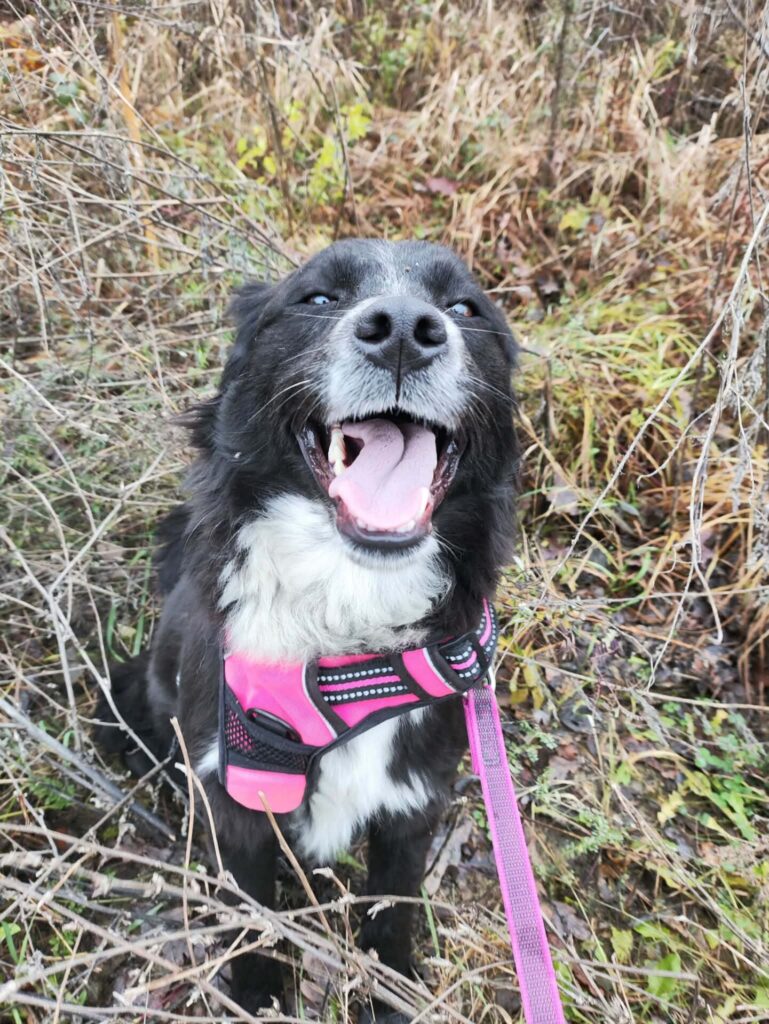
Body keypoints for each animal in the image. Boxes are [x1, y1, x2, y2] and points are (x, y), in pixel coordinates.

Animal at [97, 239, 519, 1020]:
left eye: (464, 307)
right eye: (318, 298)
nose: (405, 331)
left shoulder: (414, 804)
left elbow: (392, 913)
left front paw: (390, 990)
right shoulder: (237, 800)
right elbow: (253, 918)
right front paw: (257, 993)